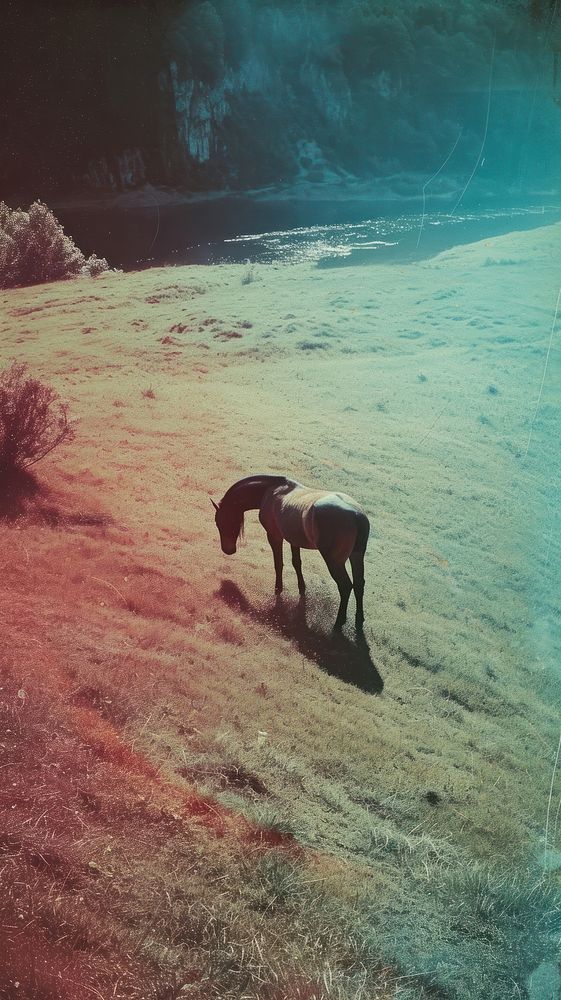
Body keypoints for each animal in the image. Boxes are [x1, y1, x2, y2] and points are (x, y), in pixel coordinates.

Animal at [210, 472, 368, 628]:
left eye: (223, 522)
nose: (228, 550)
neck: (272, 490)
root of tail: (356, 515)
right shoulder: (294, 540)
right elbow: (296, 563)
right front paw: (302, 588)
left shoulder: (274, 536)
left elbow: (278, 563)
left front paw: (278, 589)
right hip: (356, 556)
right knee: (359, 584)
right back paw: (359, 619)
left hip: (334, 562)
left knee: (345, 586)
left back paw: (339, 621)